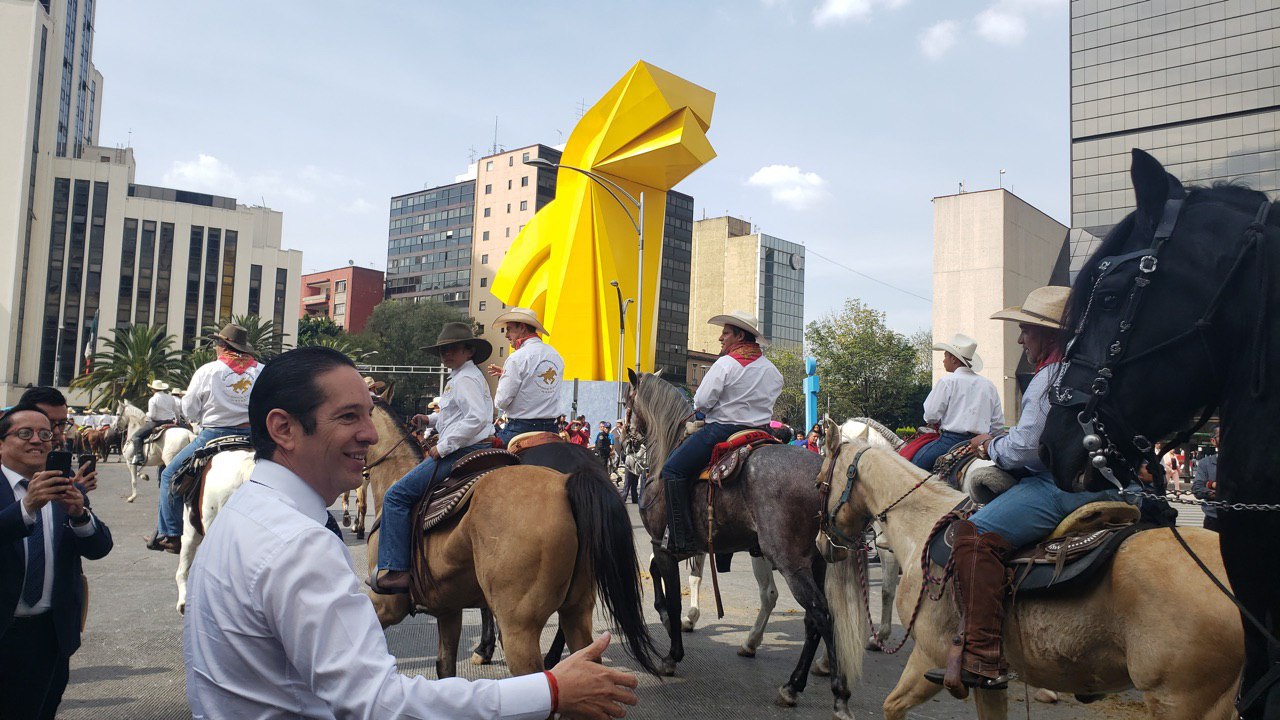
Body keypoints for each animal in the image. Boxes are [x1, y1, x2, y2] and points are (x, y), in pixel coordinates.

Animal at [360, 404, 660, 676]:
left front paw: (484, 650)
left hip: (520, 628)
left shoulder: (387, 603)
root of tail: (567, 483)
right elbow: (445, 666)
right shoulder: (448, 609)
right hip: (577, 608)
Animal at [627, 368, 855, 717]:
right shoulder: (676, 547)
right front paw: (668, 618)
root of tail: (823, 475)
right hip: (816, 562)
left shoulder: (662, 544)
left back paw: (838, 694)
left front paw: (672, 652)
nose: (625, 437)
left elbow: (672, 593)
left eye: (628, 401)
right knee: (811, 621)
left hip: (791, 563)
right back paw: (793, 685)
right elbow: (660, 577)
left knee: (820, 614)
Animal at [814, 427, 1244, 712]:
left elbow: (892, 704)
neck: (922, 525)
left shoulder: (929, 656)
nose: (821, 544)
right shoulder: (989, 681)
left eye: (819, 482)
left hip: (1178, 699)